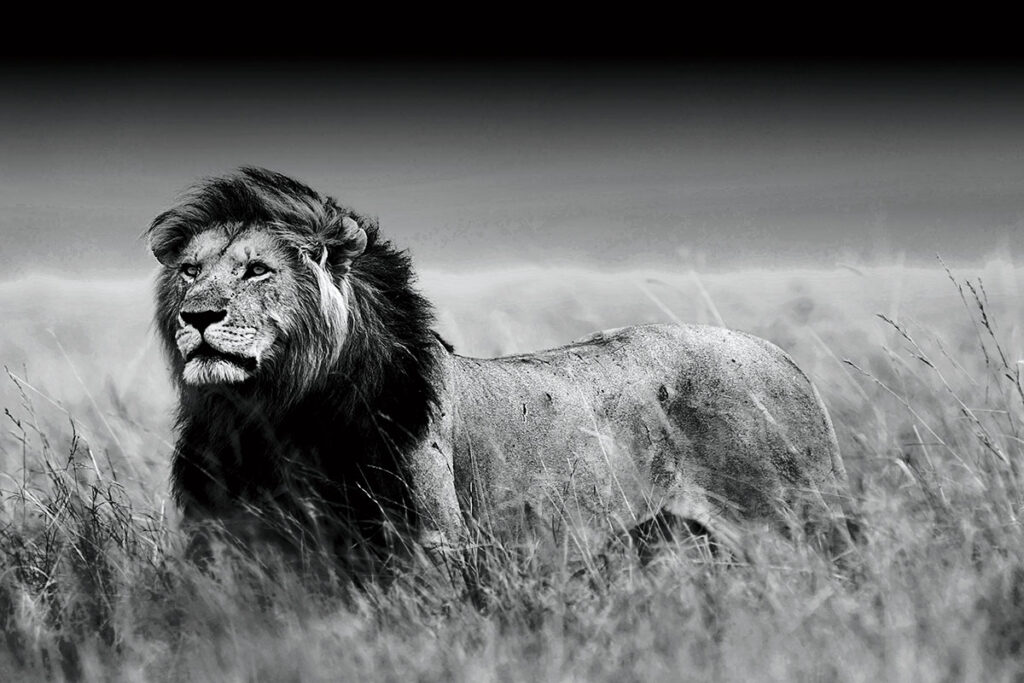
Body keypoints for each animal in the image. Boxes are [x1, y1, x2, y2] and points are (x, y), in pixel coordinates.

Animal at [148, 168, 853, 578]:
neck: (271, 415)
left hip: (794, 525)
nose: (197, 315)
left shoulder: (428, 545)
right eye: (190, 271)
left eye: (256, 270)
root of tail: (784, 358)